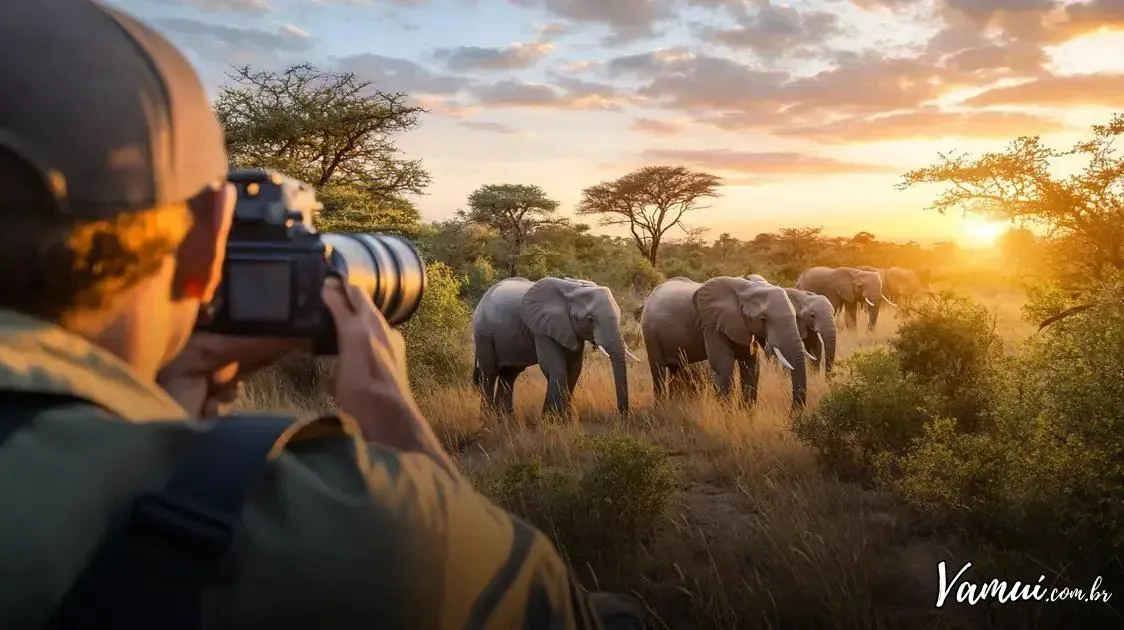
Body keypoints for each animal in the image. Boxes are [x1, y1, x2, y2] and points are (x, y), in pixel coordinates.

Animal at [469, 276, 638, 416]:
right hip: (483, 334)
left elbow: (574, 369)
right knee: (489, 373)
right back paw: (488, 419)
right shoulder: (541, 329)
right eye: (590, 319)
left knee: (509, 375)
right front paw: (553, 419)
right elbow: (555, 367)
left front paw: (564, 419)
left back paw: (505, 419)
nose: (623, 415)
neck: (572, 289)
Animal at [642, 275, 809, 409]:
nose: (791, 415)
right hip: (650, 333)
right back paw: (661, 409)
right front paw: (728, 418)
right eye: (763, 319)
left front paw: (746, 416)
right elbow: (723, 365)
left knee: (676, 370)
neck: (746, 289)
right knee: (658, 372)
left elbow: (751, 366)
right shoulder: (712, 325)